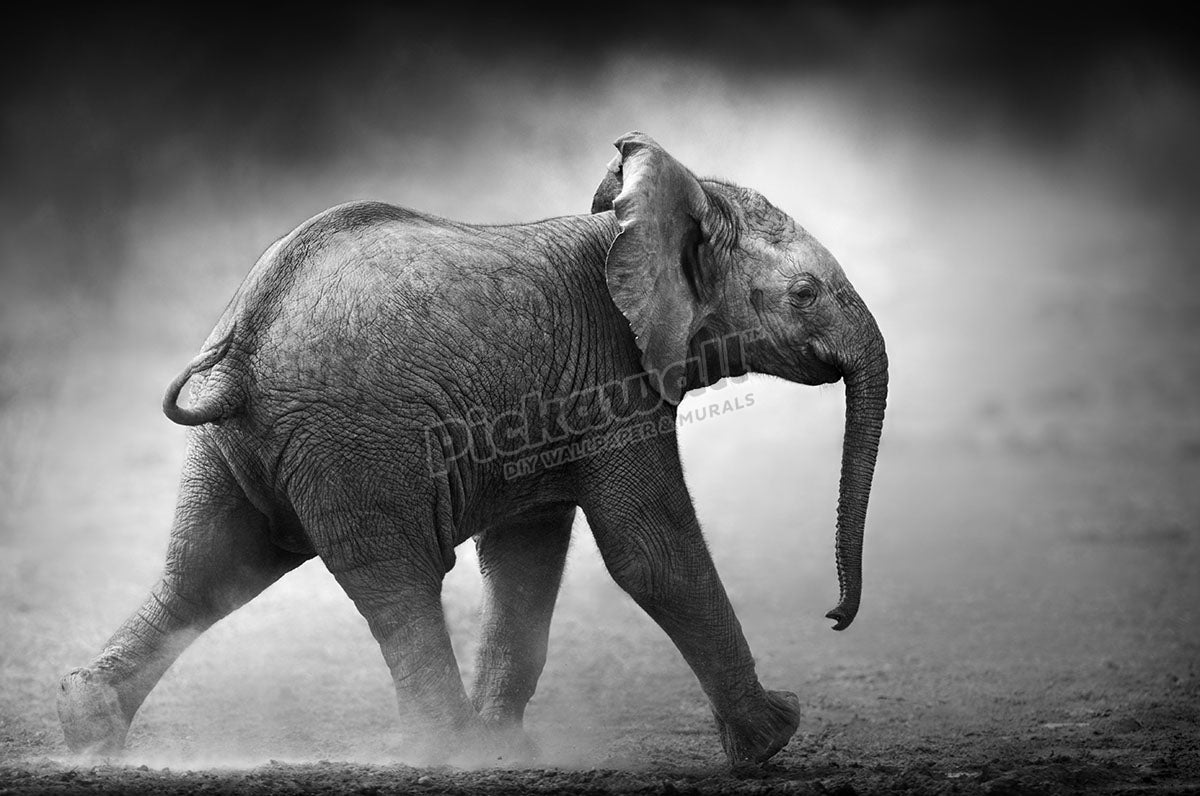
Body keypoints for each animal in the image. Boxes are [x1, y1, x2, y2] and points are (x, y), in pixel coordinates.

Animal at [57, 131, 887, 767]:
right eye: (806, 294)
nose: (834, 618)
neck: (635, 221)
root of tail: (244, 342)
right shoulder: (614, 376)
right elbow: (650, 550)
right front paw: (777, 735)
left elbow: (527, 558)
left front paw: (507, 749)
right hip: (360, 442)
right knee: (397, 584)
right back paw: (448, 750)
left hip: (243, 447)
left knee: (209, 570)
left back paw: (86, 730)